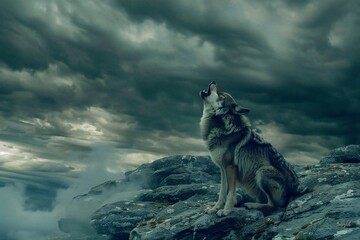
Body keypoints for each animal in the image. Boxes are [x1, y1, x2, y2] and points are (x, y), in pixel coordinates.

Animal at [200, 80, 298, 216]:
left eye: (222, 95)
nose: (213, 81)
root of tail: (295, 191)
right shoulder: (223, 169)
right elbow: (222, 192)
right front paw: (215, 208)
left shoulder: (231, 168)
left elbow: (230, 193)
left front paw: (226, 210)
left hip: (261, 172)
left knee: (273, 206)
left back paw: (250, 205)